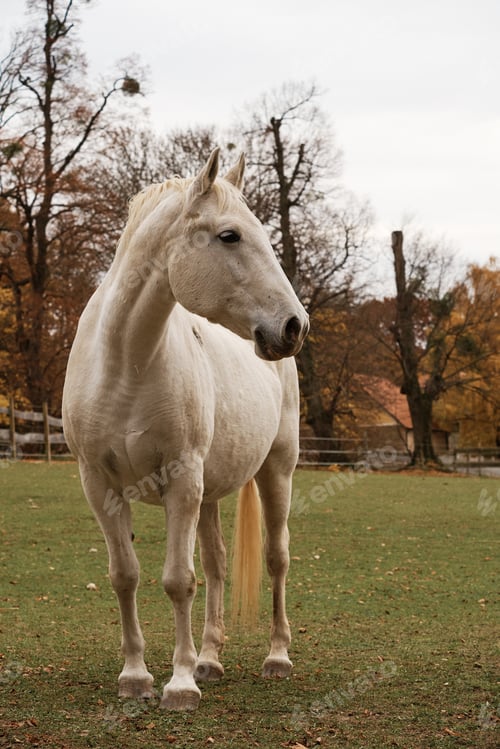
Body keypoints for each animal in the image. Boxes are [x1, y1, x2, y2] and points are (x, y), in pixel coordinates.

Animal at [62, 148, 309, 711]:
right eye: (229, 235)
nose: (293, 326)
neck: (124, 366)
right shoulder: (99, 486)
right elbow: (125, 576)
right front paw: (136, 677)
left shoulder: (181, 480)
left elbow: (179, 580)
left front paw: (179, 685)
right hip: (211, 492)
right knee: (218, 564)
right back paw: (210, 659)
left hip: (276, 472)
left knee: (276, 558)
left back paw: (276, 657)